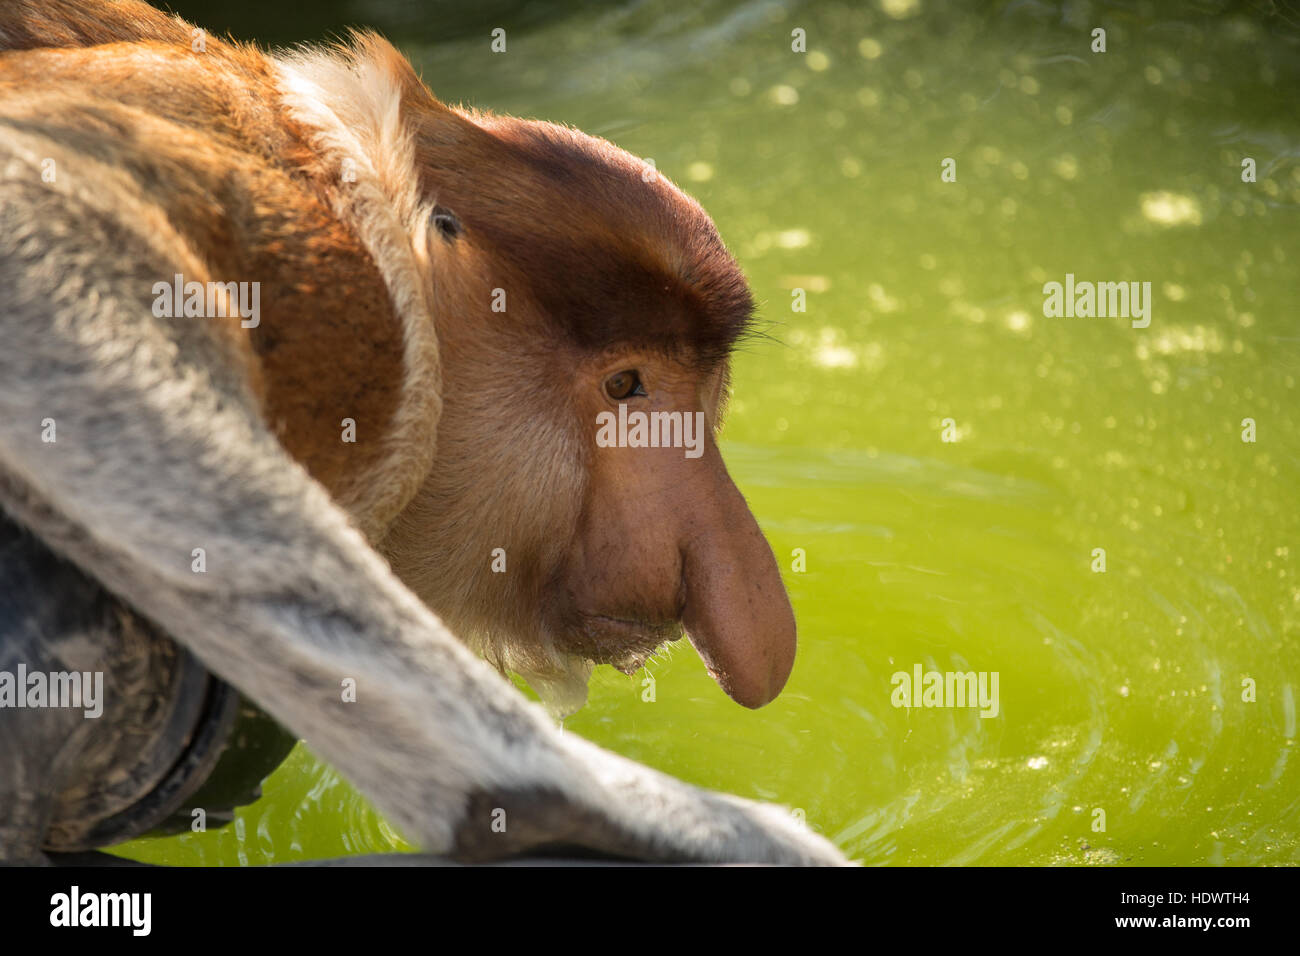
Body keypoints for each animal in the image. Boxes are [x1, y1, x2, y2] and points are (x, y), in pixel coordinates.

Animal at [0, 0, 847, 865]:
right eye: (626, 386)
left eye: (703, 389)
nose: (753, 628)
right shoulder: (355, 309)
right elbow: (40, 222)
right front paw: (649, 814)